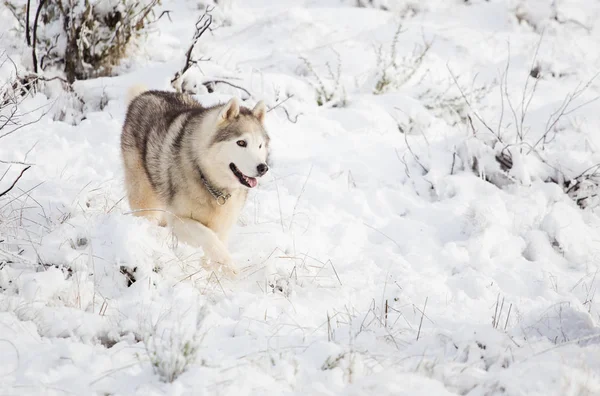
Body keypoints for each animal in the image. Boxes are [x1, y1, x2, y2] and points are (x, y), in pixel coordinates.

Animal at [119, 85, 270, 274]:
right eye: (241, 143)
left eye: (260, 145)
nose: (263, 168)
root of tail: (145, 93)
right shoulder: (179, 220)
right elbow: (208, 238)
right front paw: (230, 268)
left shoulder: (223, 224)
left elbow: (216, 244)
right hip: (144, 200)